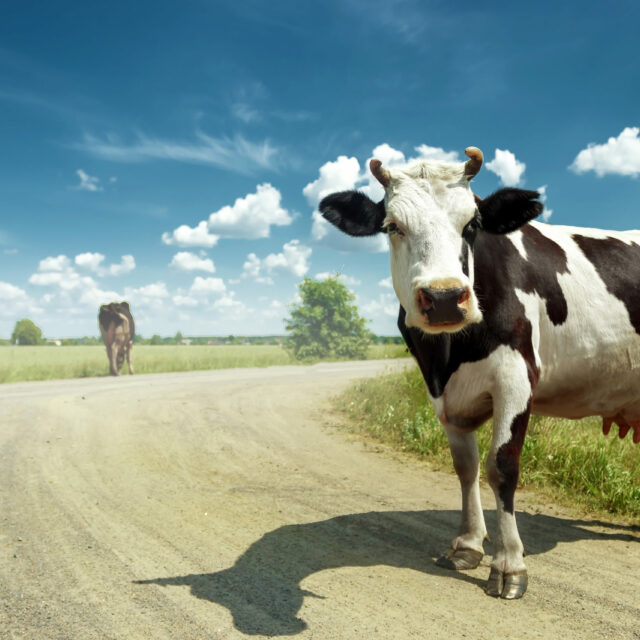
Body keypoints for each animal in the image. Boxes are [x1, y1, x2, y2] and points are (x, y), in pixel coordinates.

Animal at [319, 147, 640, 599]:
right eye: (393, 226)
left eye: (471, 225)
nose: (444, 298)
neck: (450, 354)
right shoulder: (442, 392)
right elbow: (465, 466)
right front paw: (468, 544)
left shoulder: (516, 377)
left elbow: (501, 466)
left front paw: (508, 564)